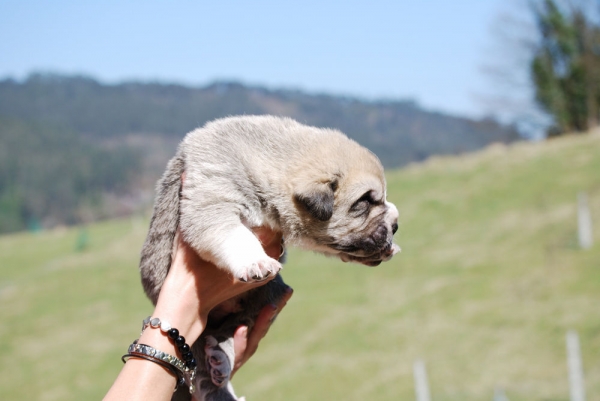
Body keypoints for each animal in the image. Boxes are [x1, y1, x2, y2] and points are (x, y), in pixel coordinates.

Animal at [139, 114, 398, 398]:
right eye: (364, 202)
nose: (396, 225)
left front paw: (388, 248)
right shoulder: (213, 195)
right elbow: (234, 233)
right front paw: (257, 261)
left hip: (269, 293)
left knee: (229, 330)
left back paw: (220, 357)